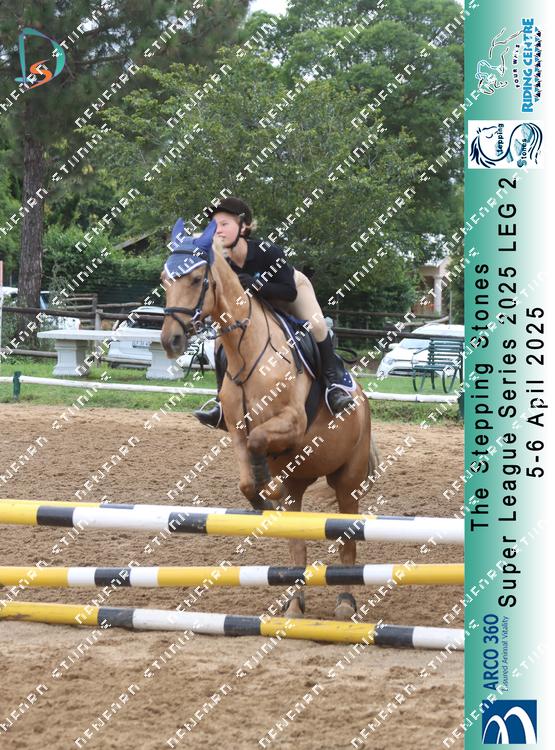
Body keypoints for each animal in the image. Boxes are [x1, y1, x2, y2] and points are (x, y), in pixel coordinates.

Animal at [160, 222, 379, 619]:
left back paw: (345, 602)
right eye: (164, 279)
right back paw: (294, 605)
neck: (247, 352)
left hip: (348, 480)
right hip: (301, 485)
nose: (171, 340)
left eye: (197, 278)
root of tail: (363, 398)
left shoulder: (292, 422)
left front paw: (267, 487)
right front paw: (262, 496)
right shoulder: (236, 431)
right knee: (297, 540)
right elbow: (247, 478)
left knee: (347, 538)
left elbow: (262, 442)